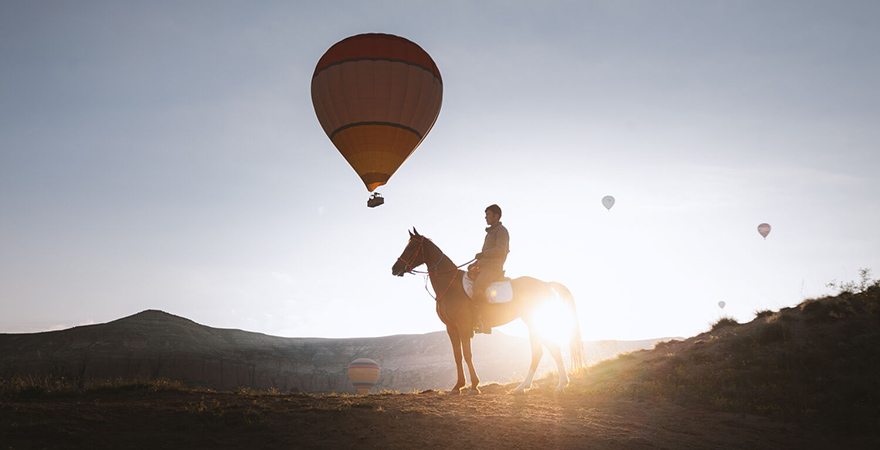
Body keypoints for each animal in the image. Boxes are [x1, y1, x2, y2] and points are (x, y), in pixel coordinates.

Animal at [390, 229, 584, 394]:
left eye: (412, 247)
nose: (395, 268)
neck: (449, 285)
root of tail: (545, 284)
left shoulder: (463, 326)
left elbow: (467, 355)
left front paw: (474, 386)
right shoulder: (451, 328)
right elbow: (457, 356)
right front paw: (458, 386)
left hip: (535, 321)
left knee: (549, 348)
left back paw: (559, 385)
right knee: (541, 351)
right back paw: (526, 386)